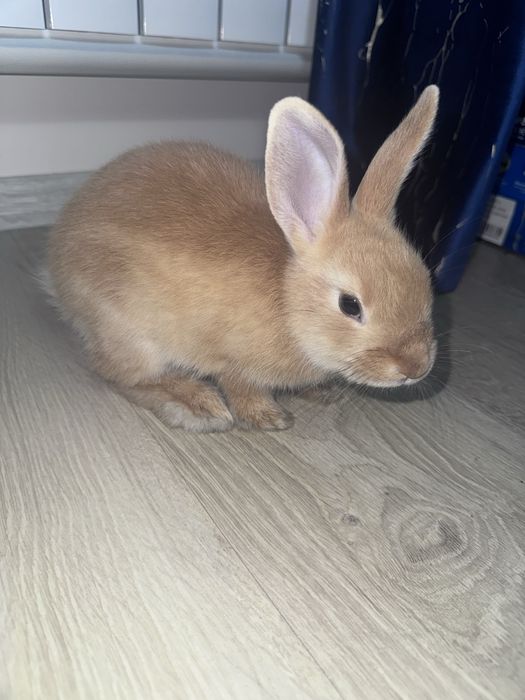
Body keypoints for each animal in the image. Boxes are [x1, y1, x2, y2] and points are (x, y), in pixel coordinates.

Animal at [46, 85, 439, 432]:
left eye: (426, 280)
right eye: (350, 305)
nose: (416, 367)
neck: (288, 303)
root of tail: (56, 275)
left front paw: (319, 392)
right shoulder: (229, 358)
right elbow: (240, 386)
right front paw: (268, 417)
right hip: (132, 335)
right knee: (119, 375)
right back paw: (200, 406)